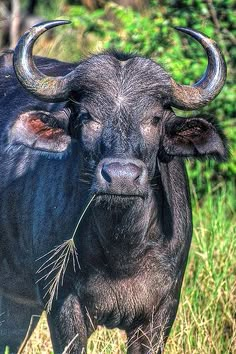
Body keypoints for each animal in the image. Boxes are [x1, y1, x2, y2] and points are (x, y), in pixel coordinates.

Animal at [0, 20, 228, 352]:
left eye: (155, 118)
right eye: (86, 116)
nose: (121, 176)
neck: (122, 249)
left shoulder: (161, 312)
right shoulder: (63, 305)